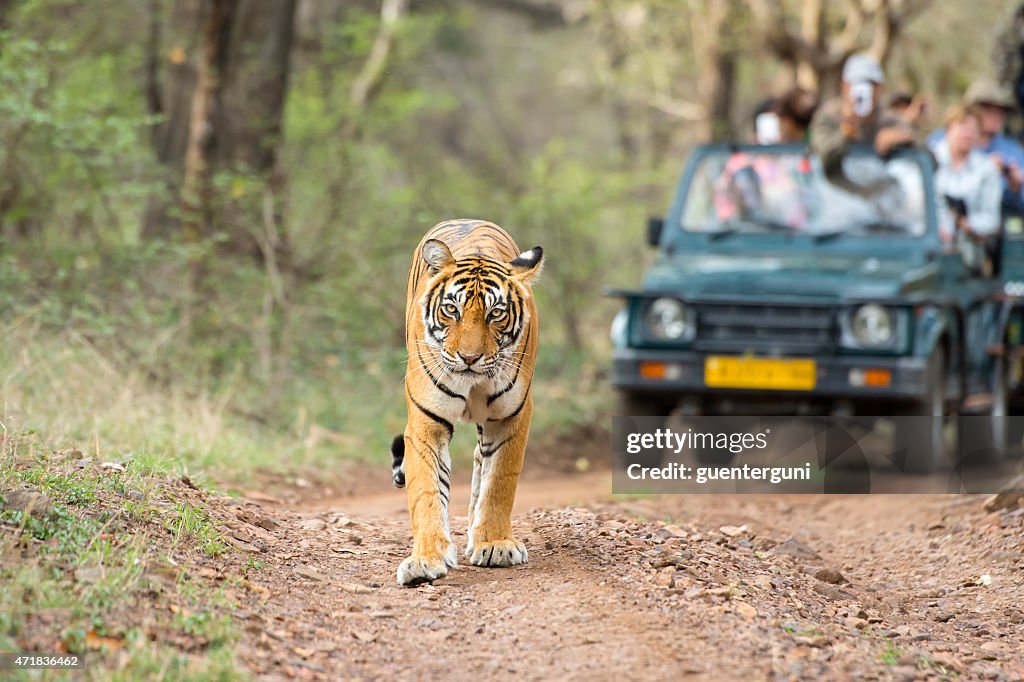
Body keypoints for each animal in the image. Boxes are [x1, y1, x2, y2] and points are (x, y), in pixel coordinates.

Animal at [389, 218, 544, 585]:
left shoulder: (511, 417)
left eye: (496, 313)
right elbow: (427, 490)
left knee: (480, 462)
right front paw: (425, 560)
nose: (469, 358)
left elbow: (499, 482)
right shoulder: (425, 422)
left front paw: (495, 544)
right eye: (451, 309)